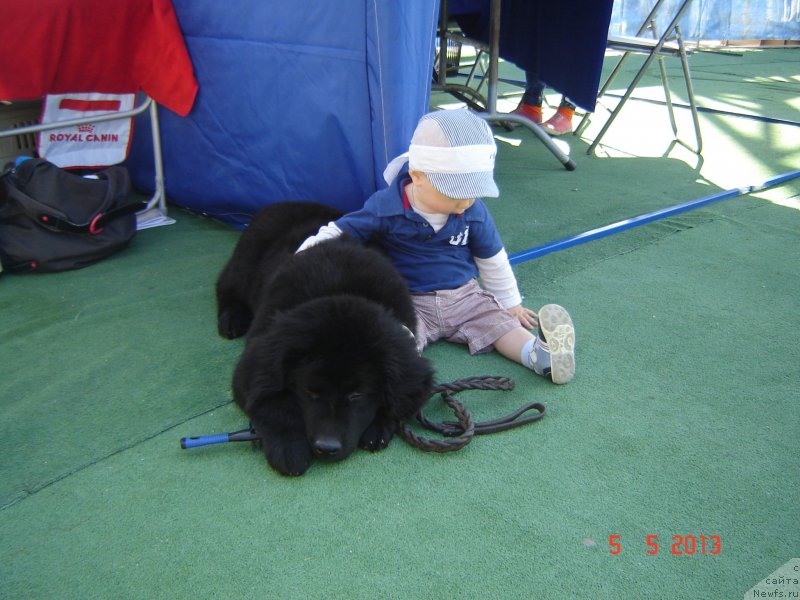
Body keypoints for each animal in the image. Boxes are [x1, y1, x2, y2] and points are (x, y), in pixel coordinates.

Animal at [216, 204, 434, 476]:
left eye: (356, 395)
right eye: (309, 391)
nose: (327, 447)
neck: (341, 291)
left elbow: (405, 395)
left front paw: (380, 426)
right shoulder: (255, 363)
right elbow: (274, 402)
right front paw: (289, 448)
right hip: (245, 260)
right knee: (226, 285)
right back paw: (231, 319)